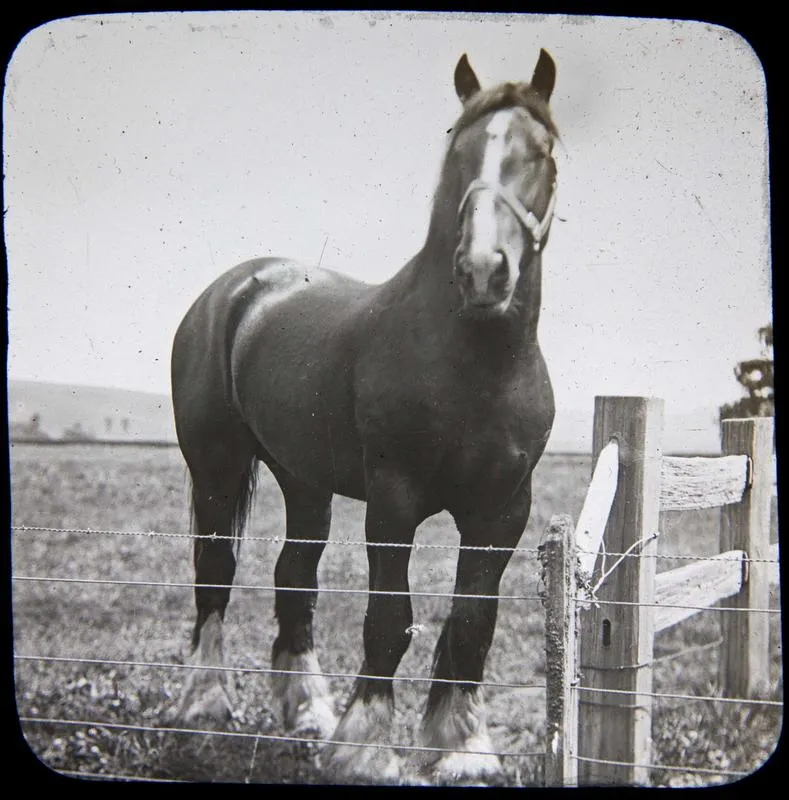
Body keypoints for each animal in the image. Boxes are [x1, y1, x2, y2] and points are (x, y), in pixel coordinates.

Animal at [171, 49, 559, 783]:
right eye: (458, 148)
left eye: (543, 152)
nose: (483, 270)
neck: (475, 365)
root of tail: (235, 289)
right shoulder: (393, 502)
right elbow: (388, 618)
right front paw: (366, 745)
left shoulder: (502, 512)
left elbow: (473, 621)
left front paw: (461, 747)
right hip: (216, 467)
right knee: (215, 570)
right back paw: (204, 702)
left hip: (304, 482)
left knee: (294, 576)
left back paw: (307, 710)